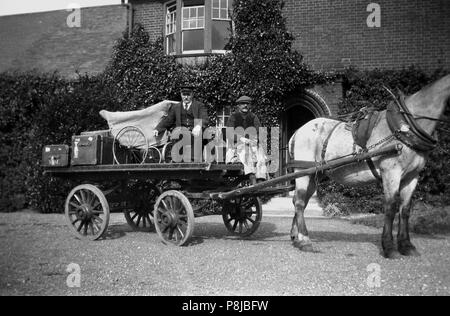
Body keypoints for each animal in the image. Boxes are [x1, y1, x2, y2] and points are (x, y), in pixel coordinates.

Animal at [288, 75, 450, 258]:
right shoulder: (391, 173)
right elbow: (391, 207)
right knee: (299, 202)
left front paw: (406, 245)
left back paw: (296, 236)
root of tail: (297, 132)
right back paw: (304, 240)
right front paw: (389, 247)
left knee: (300, 201)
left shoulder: (412, 176)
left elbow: (405, 209)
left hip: (315, 174)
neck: (405, 128)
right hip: (302, 172)